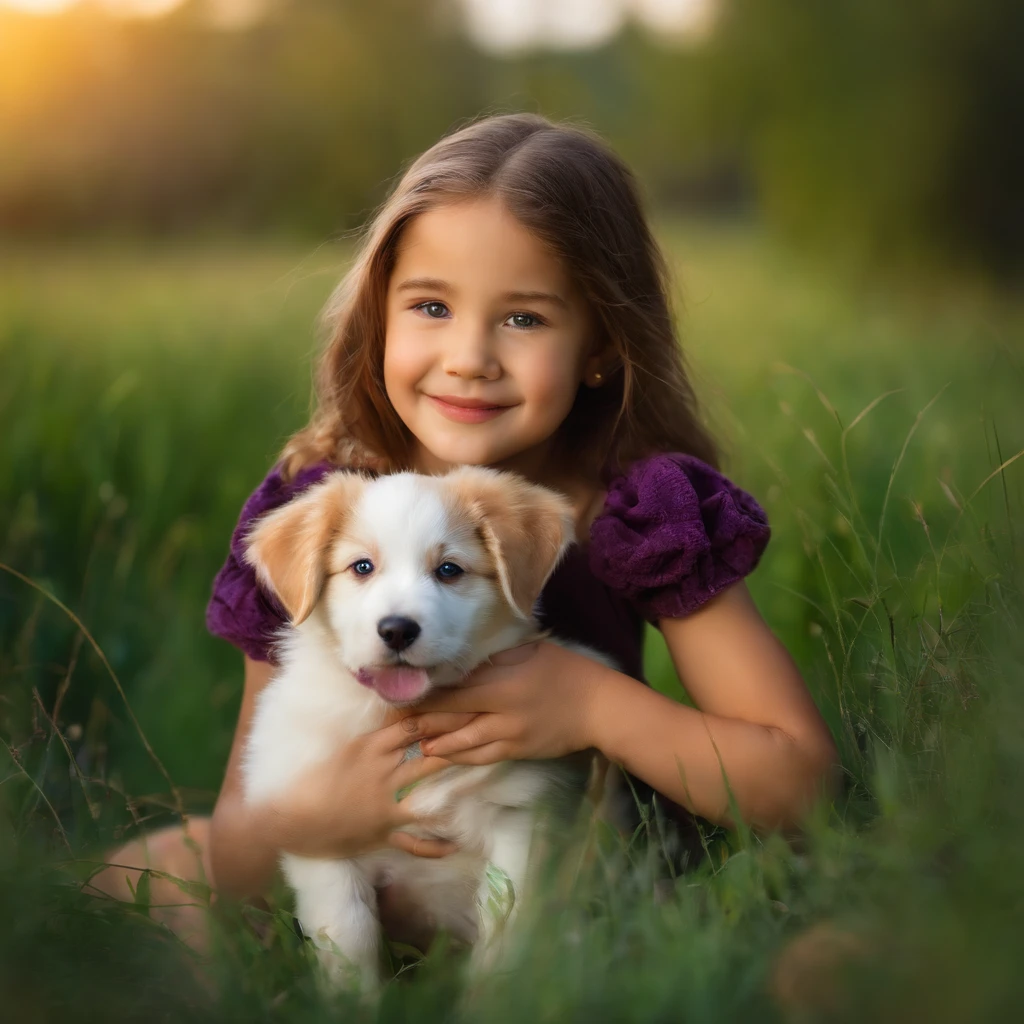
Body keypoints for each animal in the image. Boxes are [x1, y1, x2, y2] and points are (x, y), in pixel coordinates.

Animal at [240, 468, 598, 987]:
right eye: (362, 567)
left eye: (449, 570)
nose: (396, 630)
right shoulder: (321, 836)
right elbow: (350, 940)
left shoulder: (521, 822)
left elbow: (503, 929)